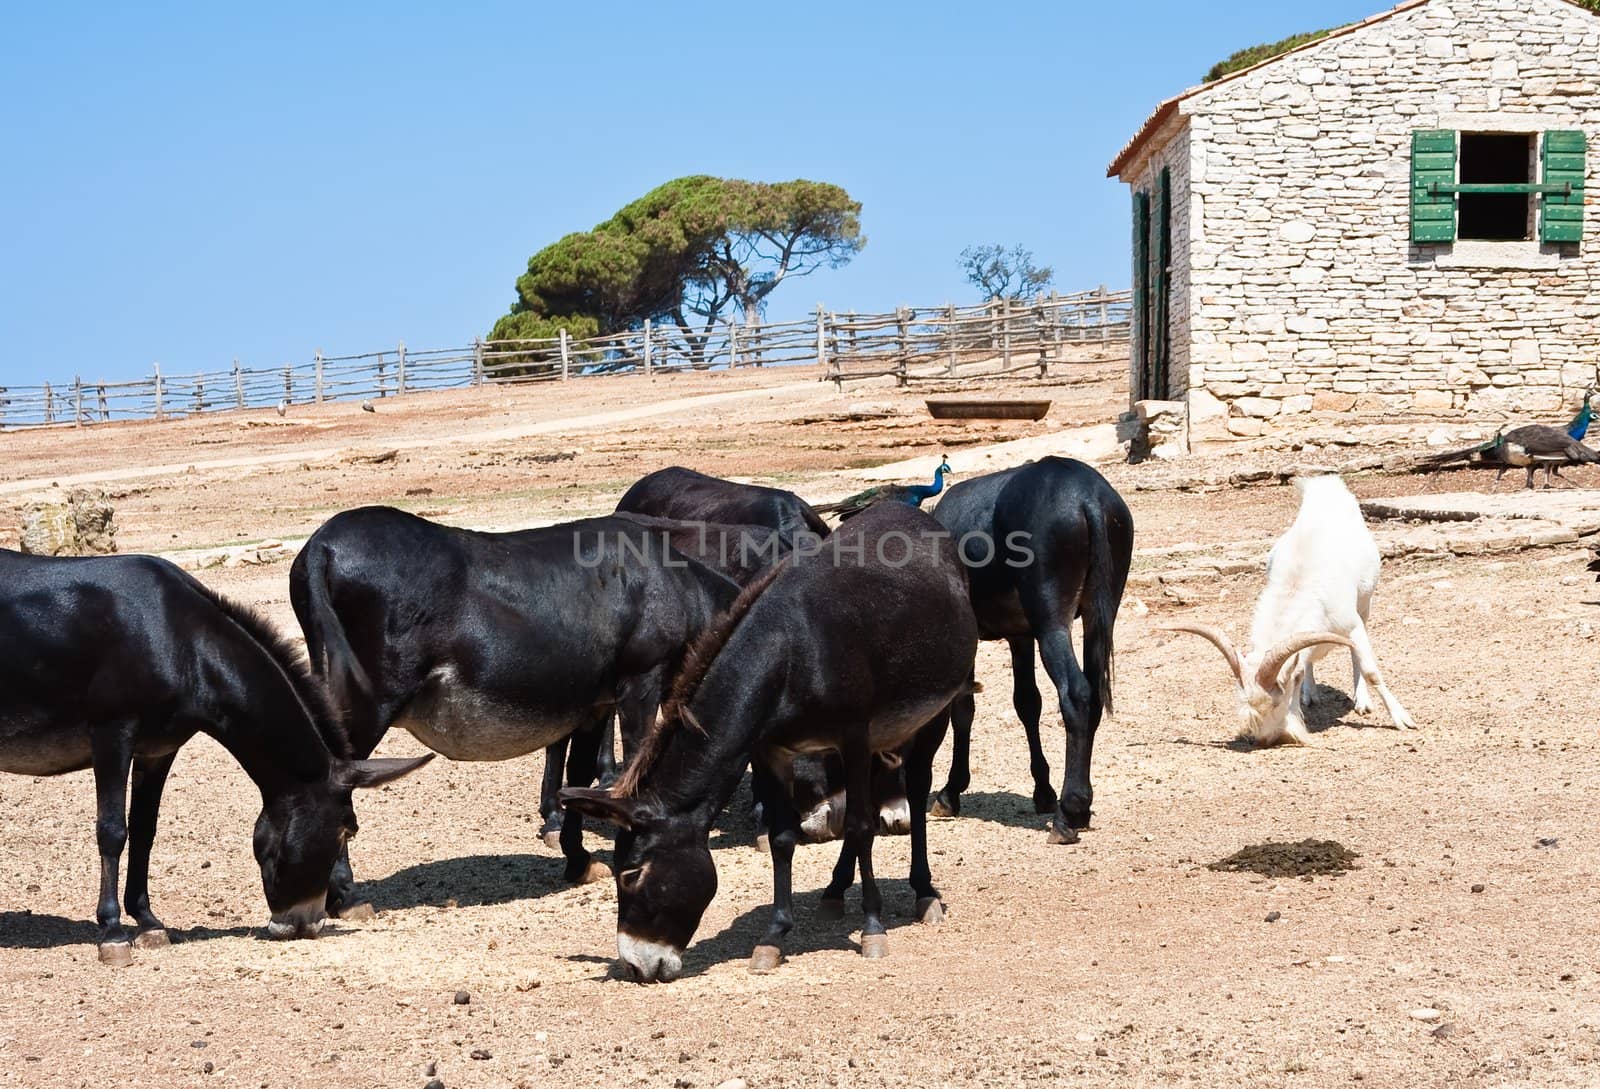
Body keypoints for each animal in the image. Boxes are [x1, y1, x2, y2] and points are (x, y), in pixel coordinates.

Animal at [1164, 470, 1414, 741]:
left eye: (1275, 702)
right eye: (1243, 701)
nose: (1265, 740)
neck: (1298, 583)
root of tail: (1324, 487)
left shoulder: (1351, 624)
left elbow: (1370, 670)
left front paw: (1402, 719)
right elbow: (1298, 669)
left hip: (1365, 603)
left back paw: (1362, 701)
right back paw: (1310, 694)